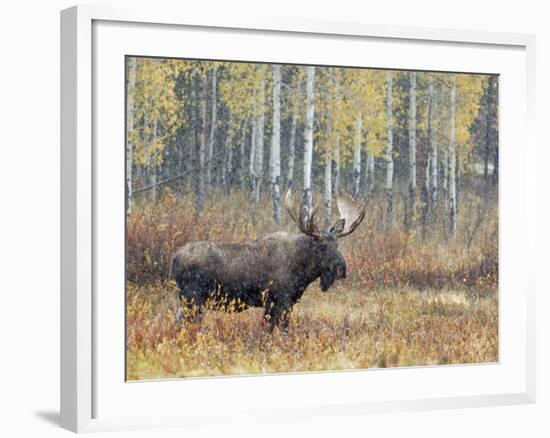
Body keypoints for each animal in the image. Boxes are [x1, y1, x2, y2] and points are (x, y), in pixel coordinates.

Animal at [171, 190, 366, 330]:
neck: (303, 273)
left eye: (337, 244)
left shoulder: (287, 301)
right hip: (191, 298)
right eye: (322, 246)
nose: (342, 268)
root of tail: (174, 258)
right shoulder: (278, 300)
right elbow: (277, 329)